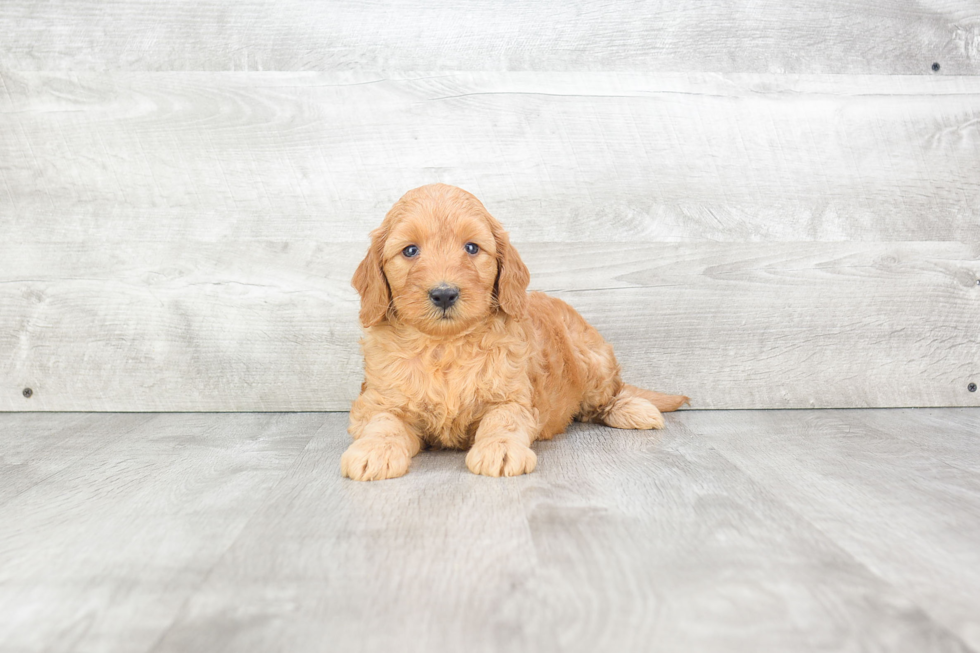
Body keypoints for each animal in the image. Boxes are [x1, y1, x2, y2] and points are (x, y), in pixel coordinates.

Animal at [344, 183, 688, 478]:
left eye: (472, 248)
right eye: (410, 251)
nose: (444, 294)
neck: (445, 345)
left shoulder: (514, 398)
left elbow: (504, 420)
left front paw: (501, 449)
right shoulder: (378, 400)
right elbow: (382, 421)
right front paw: (373, 450)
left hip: (594, 362)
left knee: (608, 397)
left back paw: (633, 410)